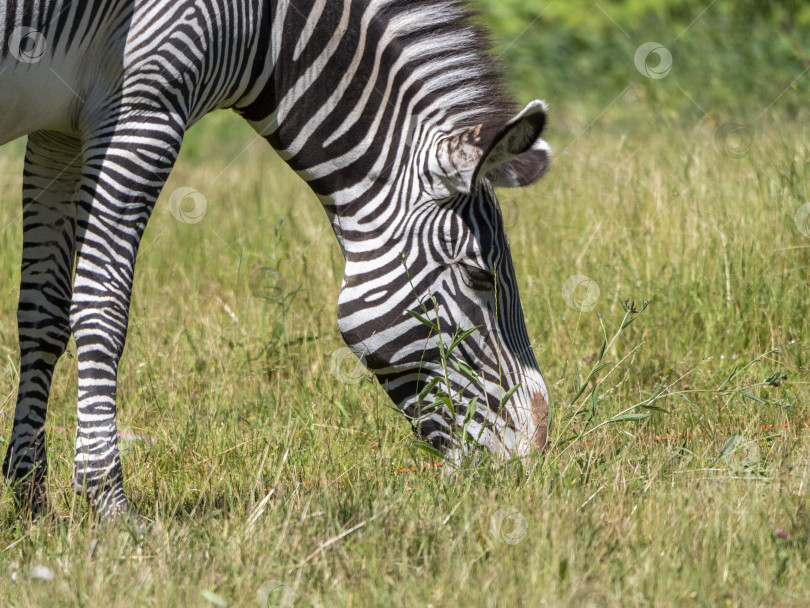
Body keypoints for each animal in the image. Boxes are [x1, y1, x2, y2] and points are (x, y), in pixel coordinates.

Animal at [0, 1, 548, 524]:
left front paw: (30, 497)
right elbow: (102, 309)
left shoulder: (59, 132)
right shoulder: (145, 108)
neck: (267, 23)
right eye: (480, 276)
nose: (530, 457)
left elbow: (43, 317)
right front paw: (107, 500)